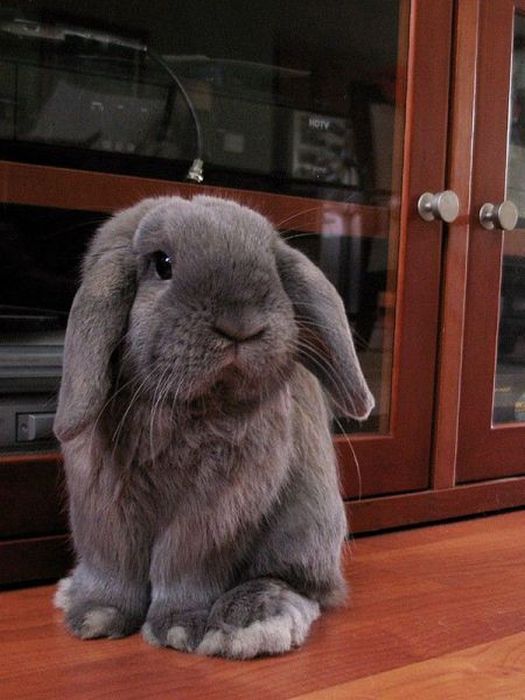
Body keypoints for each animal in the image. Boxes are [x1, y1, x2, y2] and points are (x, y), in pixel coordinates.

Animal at [52, 194, 372, 660]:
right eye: (162, 264)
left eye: (272, 267)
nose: (242, 323)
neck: (187, 407)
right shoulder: (101, 499)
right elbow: (112, 558)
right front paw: (95, 617)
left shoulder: (215, 510)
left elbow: (184, 563)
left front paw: (179, 629)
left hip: (305, 530)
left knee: (297, 585)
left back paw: (247, 622)